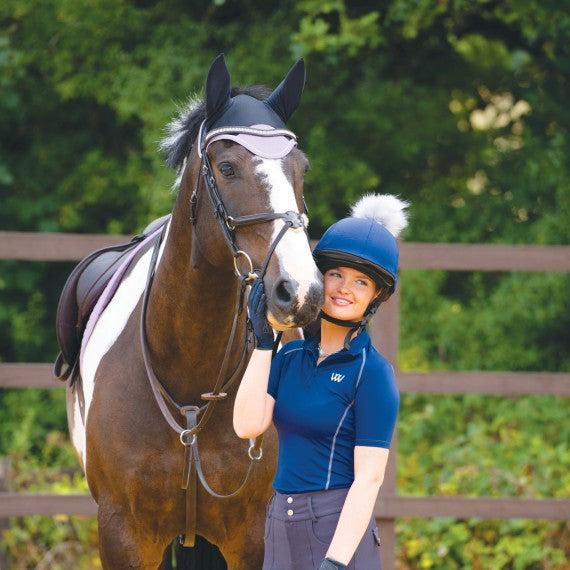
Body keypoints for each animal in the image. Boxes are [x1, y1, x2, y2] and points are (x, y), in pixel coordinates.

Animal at [61, 54, 322, 568]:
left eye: (300, 169)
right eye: (227, 167)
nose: (299, 291)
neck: (189, 377)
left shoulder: (251, 537)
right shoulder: (123, 535)